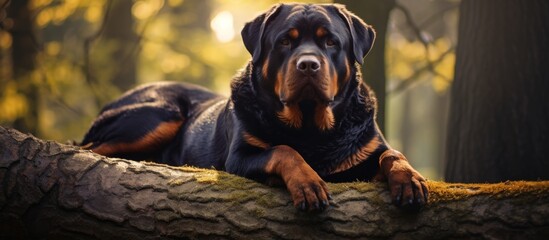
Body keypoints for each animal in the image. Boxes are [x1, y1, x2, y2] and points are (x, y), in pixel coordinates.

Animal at [80, 2, 428, 211]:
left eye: (330, 41)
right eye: (285, 41)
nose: (308, 64)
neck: (311, 127)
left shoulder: (368, 149)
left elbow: (392, 154)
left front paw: (409, 180)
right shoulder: (240, 157)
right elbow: (284, 150)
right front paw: (308, 183)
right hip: (160, 114)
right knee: (89, 148)